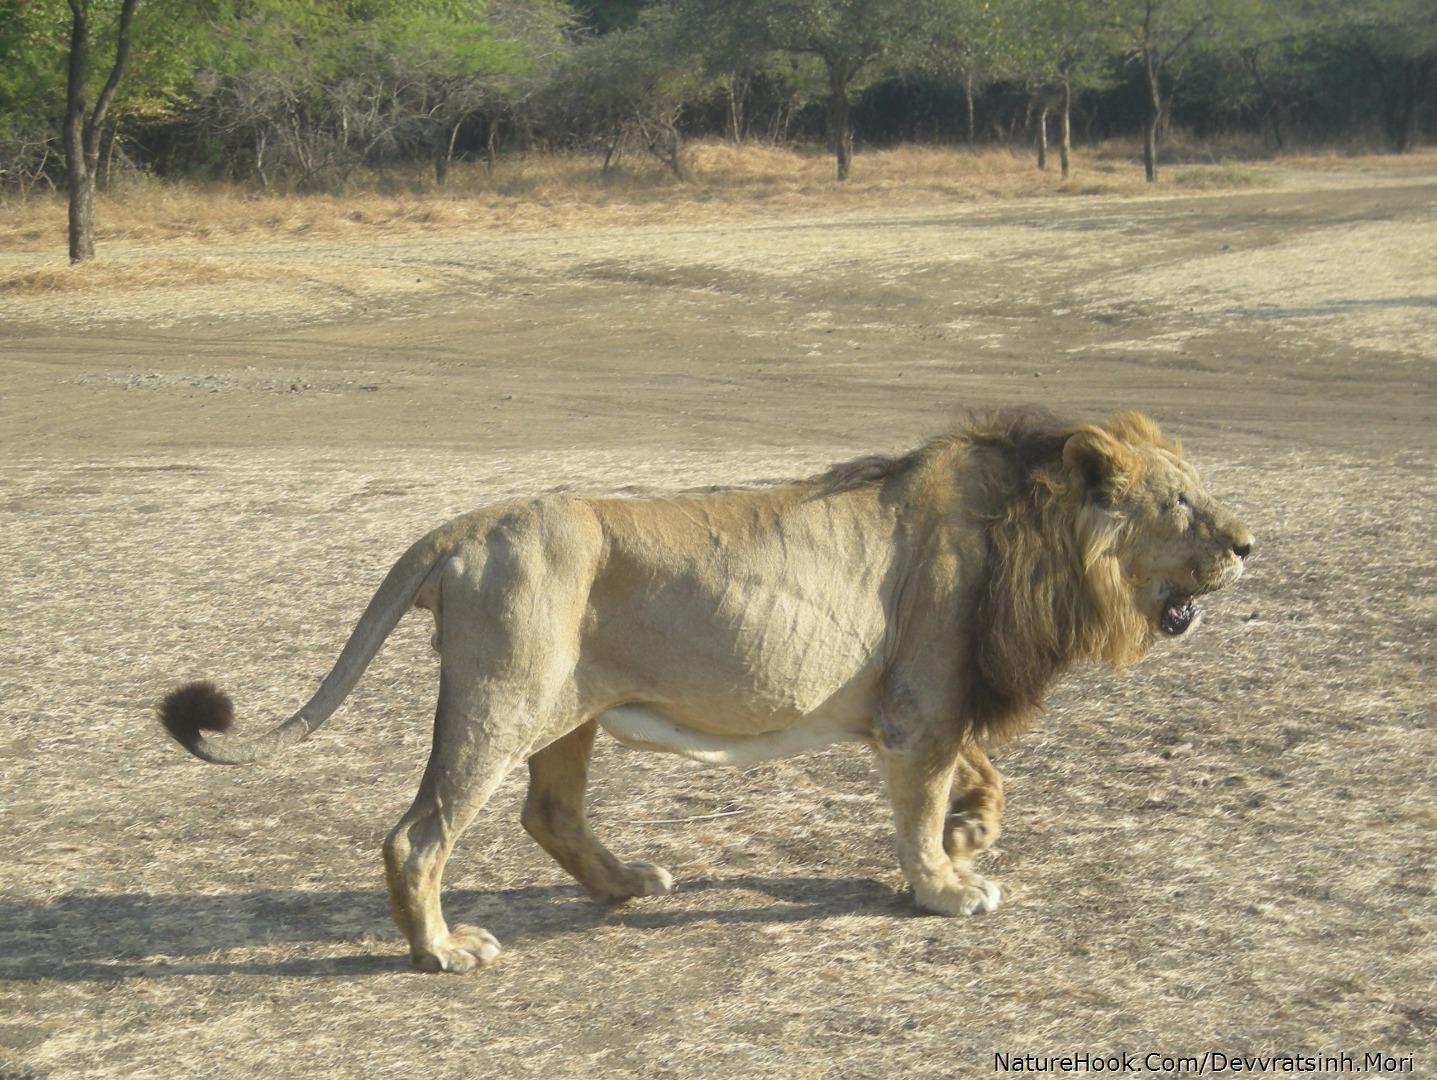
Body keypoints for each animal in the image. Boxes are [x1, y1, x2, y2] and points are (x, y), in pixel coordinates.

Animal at [160, 405, 1258, 970]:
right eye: (1182, 504)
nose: (1248, 544)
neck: (1034, 533)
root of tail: (463, 528)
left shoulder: (927, 703)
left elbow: (977, 773)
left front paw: (971, 831)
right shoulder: (920, 709)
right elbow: (921, 804)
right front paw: (945, 887)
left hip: (568, 713)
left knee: (548, 814)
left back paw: (627, 885)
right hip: (500, 702)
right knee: (418, 835)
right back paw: (443, 950)